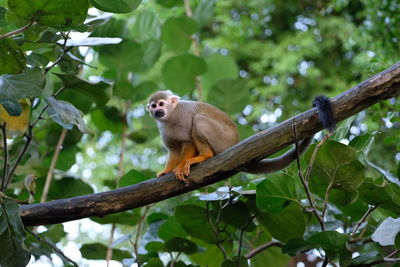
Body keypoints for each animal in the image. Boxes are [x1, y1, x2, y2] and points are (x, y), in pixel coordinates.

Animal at [147, 91, 334, 181]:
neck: (171, 116)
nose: (157, 111)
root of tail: (235, 143)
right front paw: (167, 170)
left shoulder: (184, 115)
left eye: (161, 104)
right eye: (154, 106)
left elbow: (188, 141)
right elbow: (173, 149)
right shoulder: (163, 128)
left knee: (199, 120)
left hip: (223, 141)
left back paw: (204, 156)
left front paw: (181, 165)